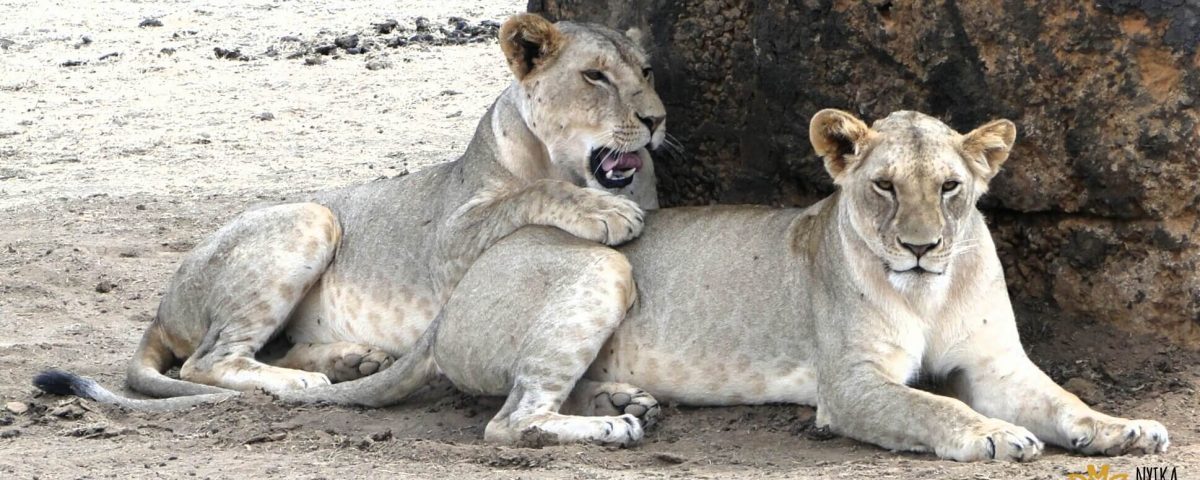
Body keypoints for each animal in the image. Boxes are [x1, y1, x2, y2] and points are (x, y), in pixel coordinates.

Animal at [34, 14, 665, 409]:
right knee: (207, 362)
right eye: (595, 76)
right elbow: (530, 197)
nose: (657, 119)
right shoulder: (451, 243)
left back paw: (352, 360)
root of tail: (163, 306)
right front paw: (605, 212)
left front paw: (616, 396)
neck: (564, 162)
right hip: (313, 215)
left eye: (646, 71)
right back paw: (305, 382)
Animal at [263, 109, 1165, 460]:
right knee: (511, 421)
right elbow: (935, 407)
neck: (929, 291)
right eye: (881, 187)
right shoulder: (851, 387)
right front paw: (993, 436)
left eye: (950, 188)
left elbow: (1066, 402)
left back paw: (623, 399)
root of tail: (457, 287)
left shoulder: (998, 363)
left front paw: (1126, 429)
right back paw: (614, 427)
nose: (919, 247)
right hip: (603, 263)